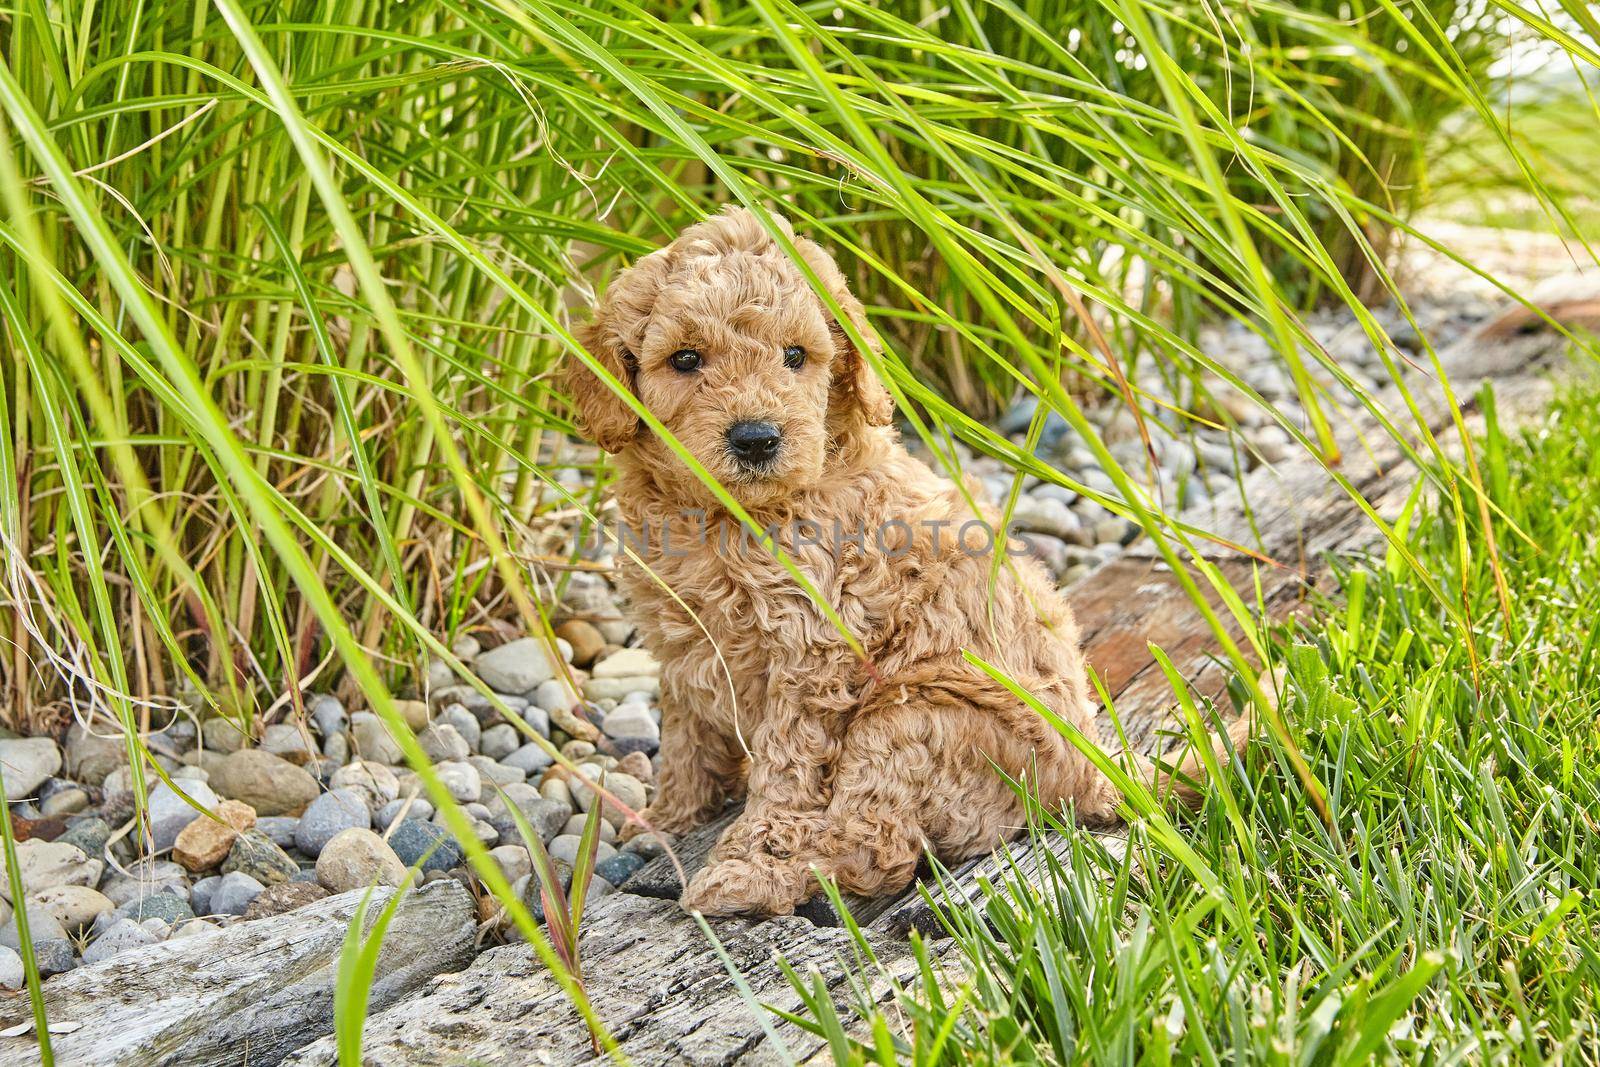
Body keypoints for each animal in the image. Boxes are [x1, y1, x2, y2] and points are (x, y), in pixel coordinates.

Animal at [566, 204, 1248, 915]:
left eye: (795, 357)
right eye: (685, 359)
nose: (756, 438)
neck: (730, 516)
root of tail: (1096, 771)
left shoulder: (811, 653)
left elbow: (785, 770)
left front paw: (754, 850)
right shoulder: (682, 643)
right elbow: (686, 740)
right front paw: (668, 820)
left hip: (911, 720)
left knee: (880, 848)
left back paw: (757, 883)